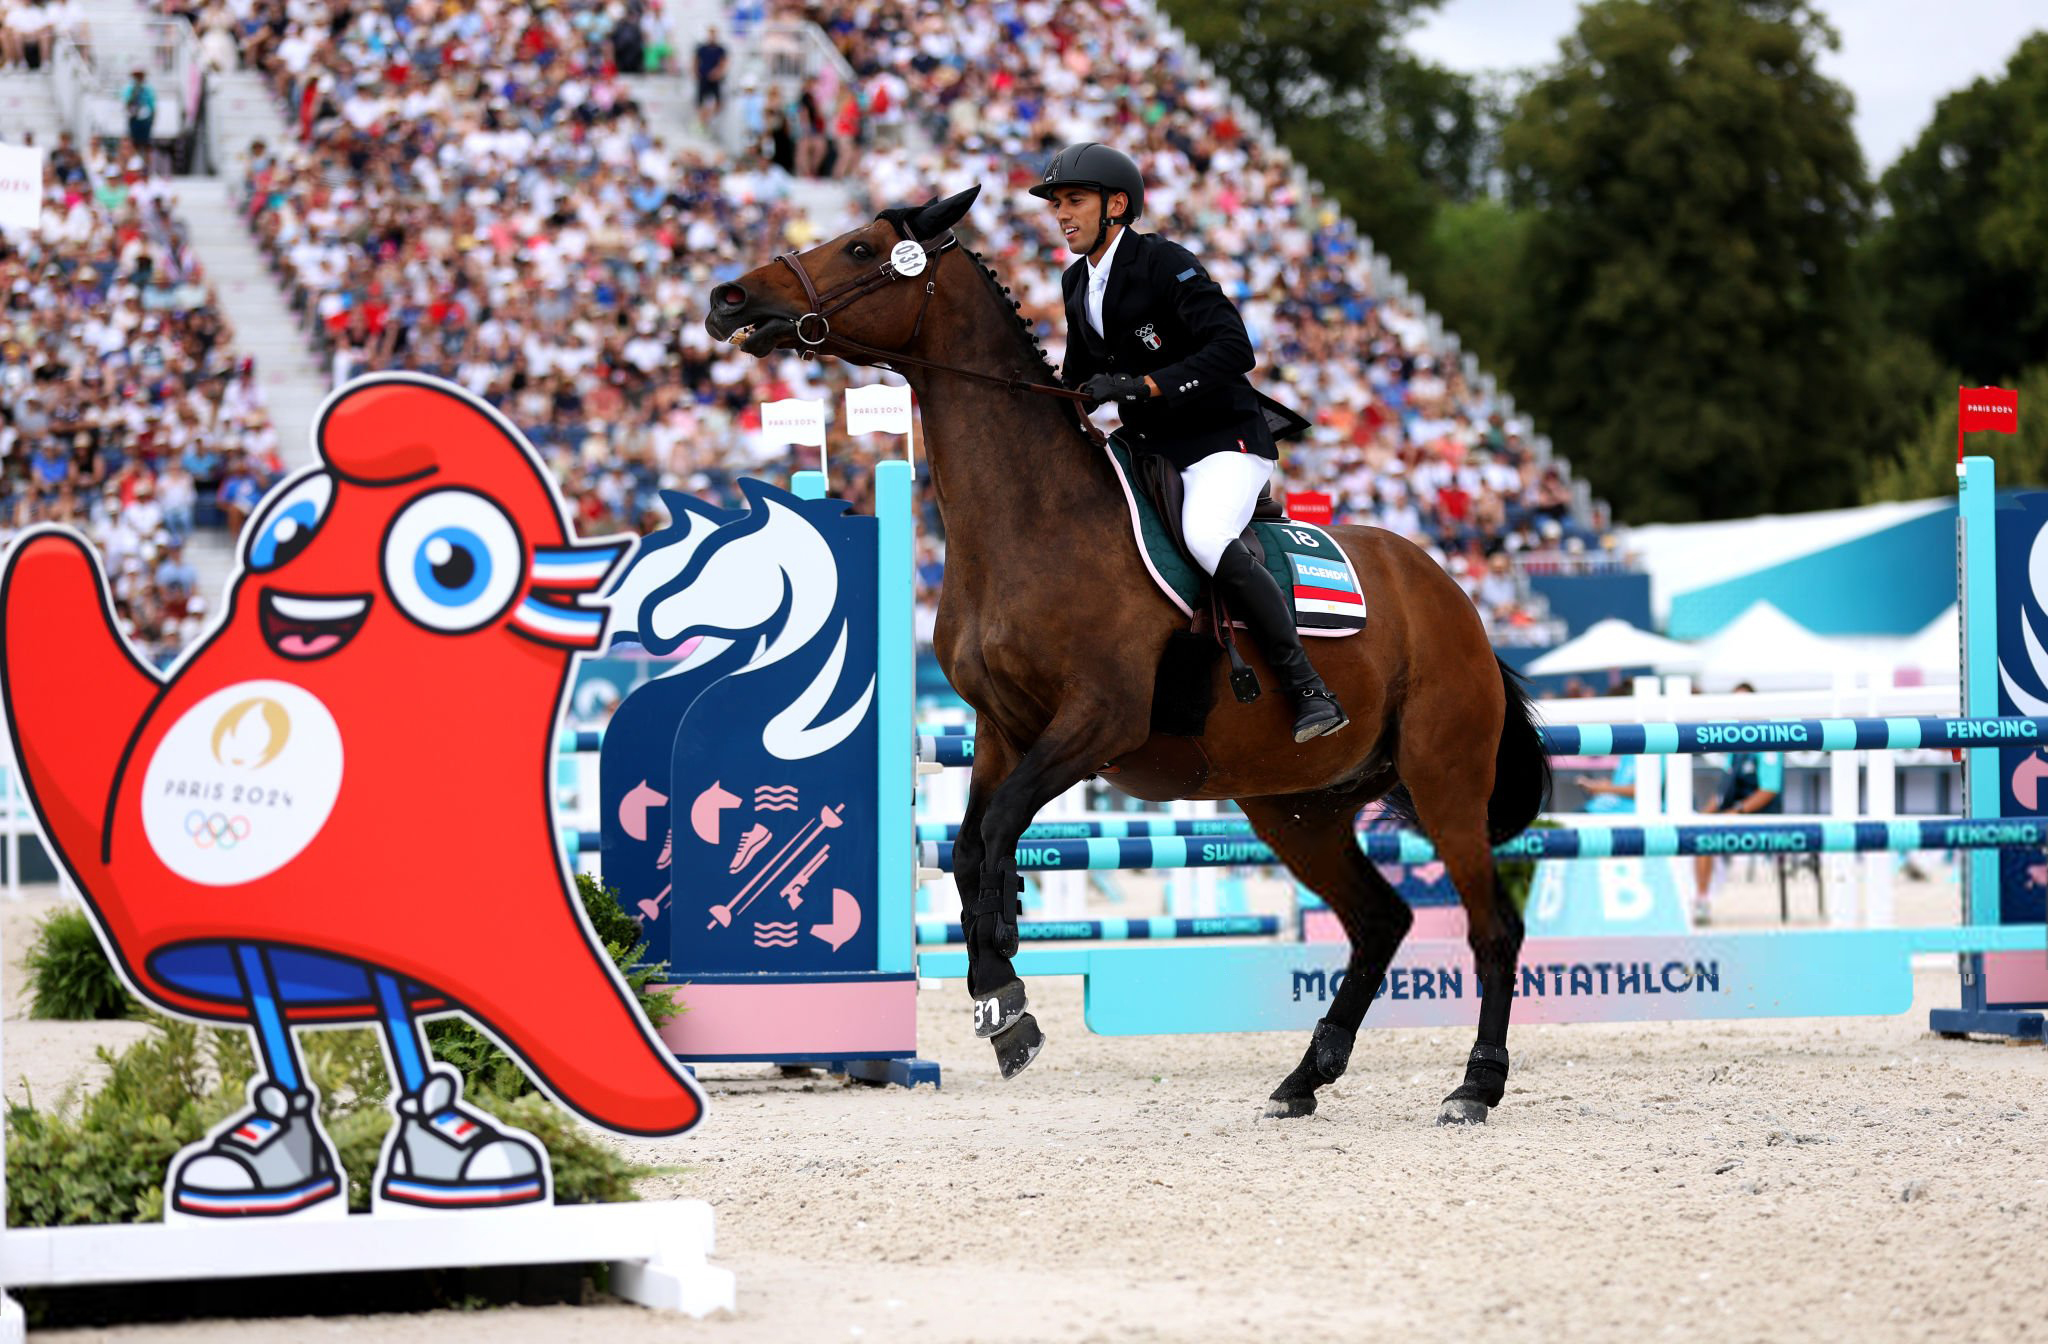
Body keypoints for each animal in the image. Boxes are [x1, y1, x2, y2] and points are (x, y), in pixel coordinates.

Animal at [703, 185, 1549, 1125]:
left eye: (858, 249)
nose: (730, 301)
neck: (1036, 519)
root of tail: (1455, 598)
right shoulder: (1001, 728)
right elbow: (967, 846)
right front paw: (1000, 1000)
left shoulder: (1097, 723)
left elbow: (999, 827)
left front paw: (1006, 973)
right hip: (1299, 809)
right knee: (1379, 924)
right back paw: (1304, 1078)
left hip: (1443, 778)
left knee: (1492, 928)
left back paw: (1474, 1085)